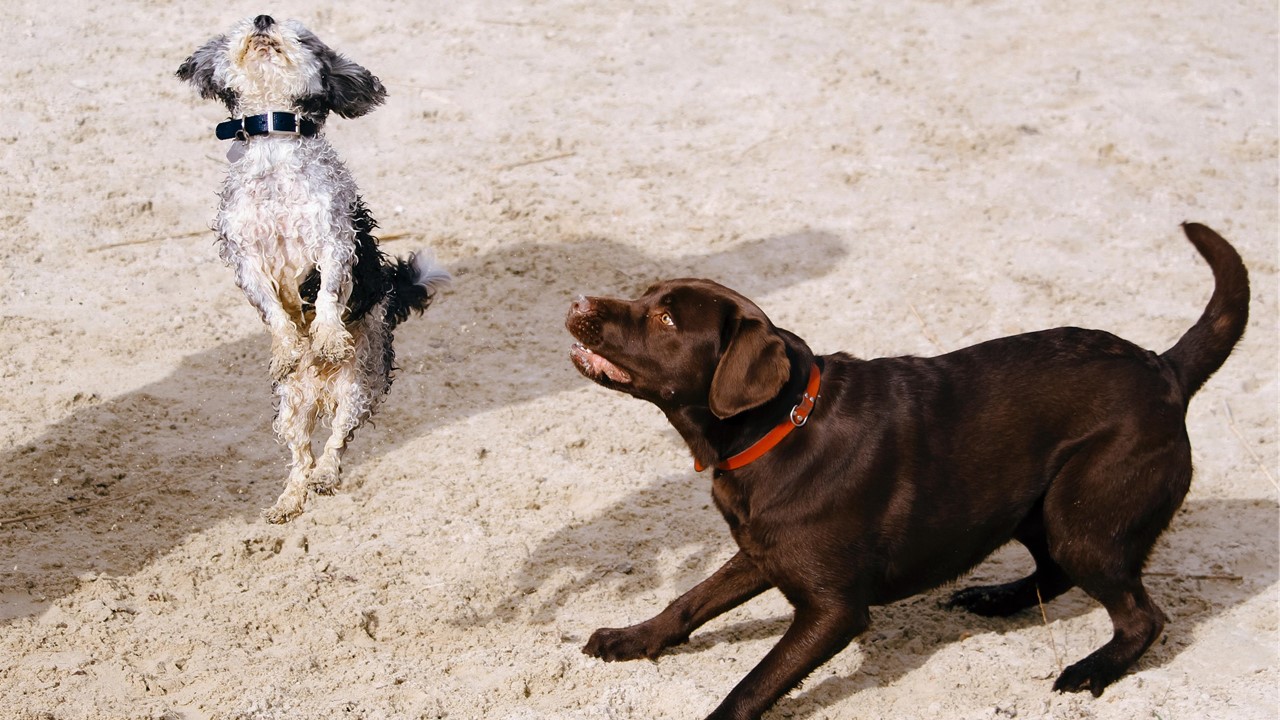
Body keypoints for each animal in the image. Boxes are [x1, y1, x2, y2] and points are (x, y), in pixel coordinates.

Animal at [175, 15, 445, 520]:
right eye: (240, 26)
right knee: (300, 456)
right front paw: (288, 348)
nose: (263, 18)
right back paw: (289, 499)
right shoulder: (246, 258)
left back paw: (324, 475)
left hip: (358, 388)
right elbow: (274, 310)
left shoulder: (333, 242)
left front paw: (327, 339)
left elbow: (326, 295)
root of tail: (321, 393)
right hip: (289, 408)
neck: (276, 154)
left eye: (301, 37)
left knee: (336, 442)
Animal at [568, 224, 1249, 717]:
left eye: (666, 319)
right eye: (645, 295)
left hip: (1083, 518)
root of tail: (1166, 369)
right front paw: (629, 638)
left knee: (1141, 616)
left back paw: (1089, 670)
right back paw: (994, 599)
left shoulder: (834, 610)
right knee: (1053, 573)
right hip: (1038, 506)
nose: (576, 300)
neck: (779, 426)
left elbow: (752, 684)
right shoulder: (760, 551)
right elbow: (689, 601)